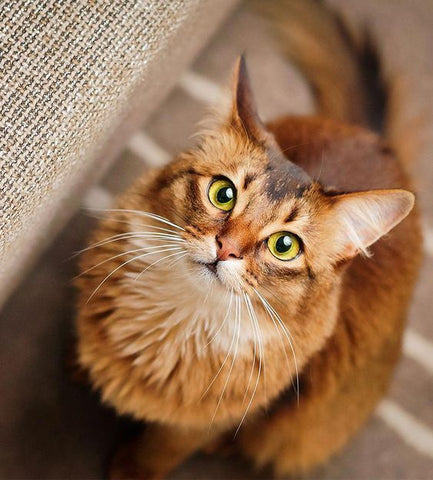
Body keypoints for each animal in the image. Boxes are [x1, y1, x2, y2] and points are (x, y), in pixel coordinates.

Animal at [75, 1, 422, 478]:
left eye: (284, 246)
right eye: (223, 193)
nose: (226, 249)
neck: (182, 321)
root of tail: (378, 141)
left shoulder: (228, 413)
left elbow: (167, 444)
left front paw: (132, 468)